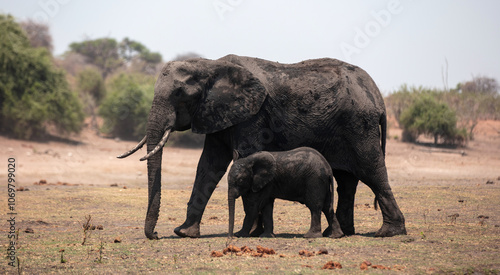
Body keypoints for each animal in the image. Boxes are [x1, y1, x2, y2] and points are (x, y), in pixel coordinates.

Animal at [118, 54, 406, 239]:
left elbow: (242, 159)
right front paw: (185, 232)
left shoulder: (253, 116)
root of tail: (377, 96)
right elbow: (209, 166)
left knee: (372, 172)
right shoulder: (218, 113)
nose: (156, 234)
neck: (211, 65)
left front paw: (252, 233)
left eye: (179, 94)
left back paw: (388, 232)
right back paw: (340, 233)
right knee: (347, 180)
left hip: (360, 126)